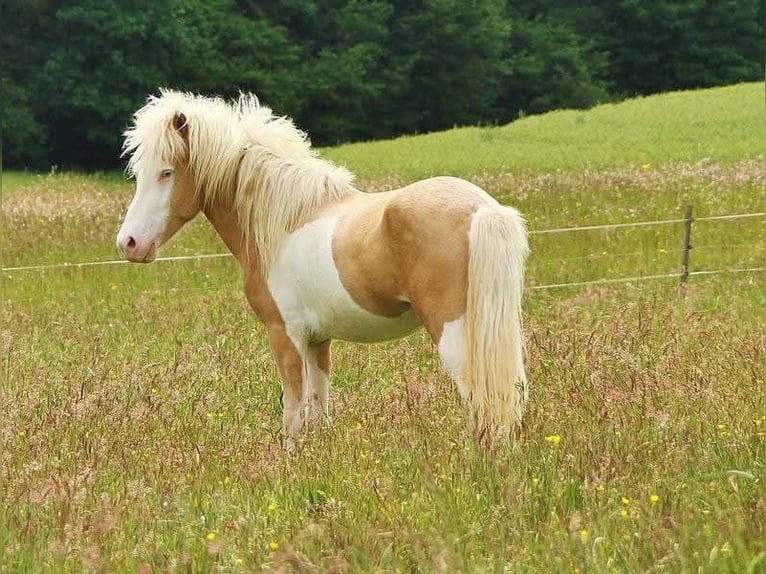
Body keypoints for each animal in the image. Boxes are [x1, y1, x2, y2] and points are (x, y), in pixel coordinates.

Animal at [116, 90, 529, 450]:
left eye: (166, 172)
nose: (129, 244)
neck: (284, 221)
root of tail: (482, 209)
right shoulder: (317, 341)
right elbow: (318, 411)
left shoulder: (286, 336)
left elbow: (293, 415)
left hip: (455, 338)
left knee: (483, 406)